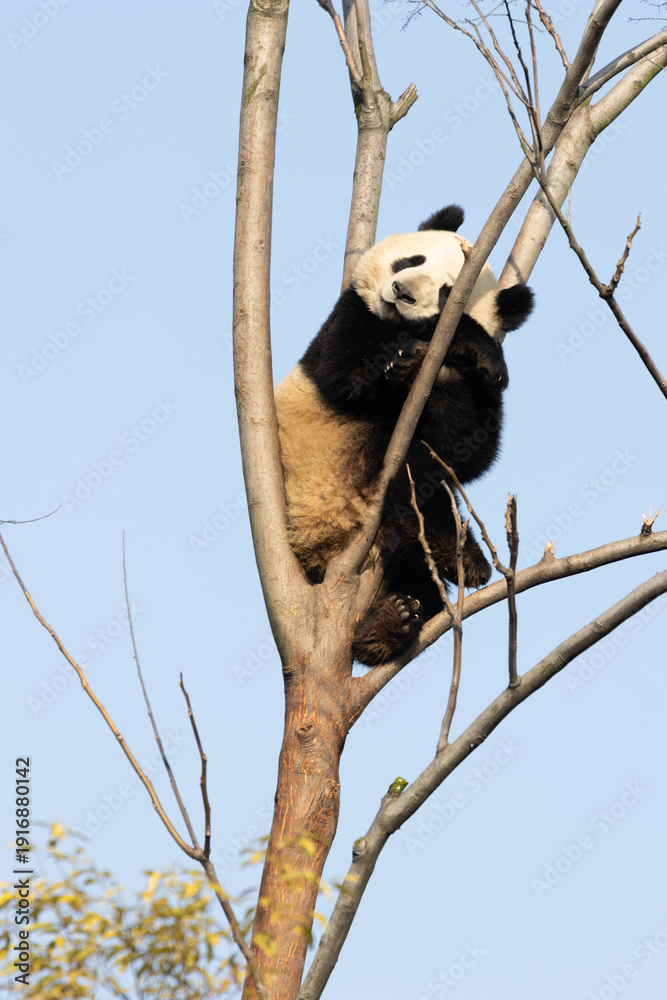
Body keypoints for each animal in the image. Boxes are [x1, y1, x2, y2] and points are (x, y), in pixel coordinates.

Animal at [275, 205, 533, 667]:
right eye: (412, 261)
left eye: (448, 292)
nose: (402, 292)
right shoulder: (348, 320)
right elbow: (344, 375)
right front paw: (408, 362)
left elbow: (471, 449)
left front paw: (479, 358)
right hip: (323, 479)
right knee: (411, 472)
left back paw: (399, 612)